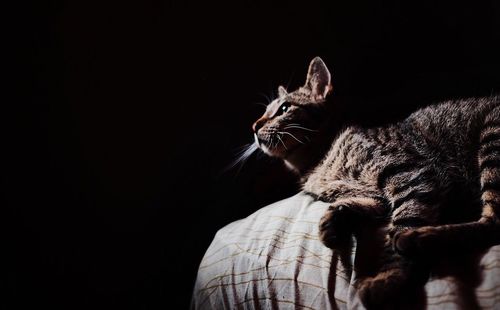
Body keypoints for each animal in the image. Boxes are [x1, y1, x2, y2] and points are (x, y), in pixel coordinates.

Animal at [252, 57, 500, 308]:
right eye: (265, 112)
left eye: (284, 109)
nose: (254, 126)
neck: (317, 163)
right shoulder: (375, 197)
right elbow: (354, 204)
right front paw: (331, 221)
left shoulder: (410, 173)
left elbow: (403, 221)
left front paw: (389, 278)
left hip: (491, 141)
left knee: (492, 223)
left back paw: (418, 239)